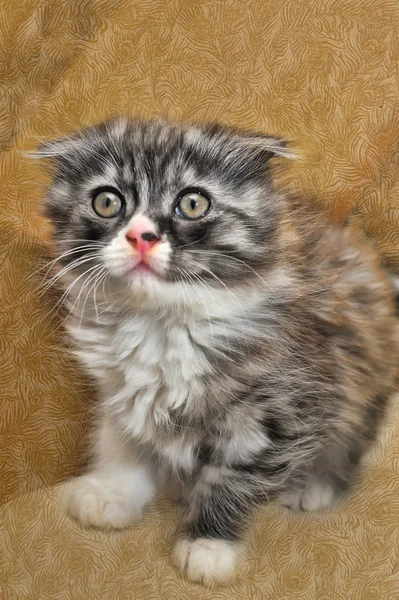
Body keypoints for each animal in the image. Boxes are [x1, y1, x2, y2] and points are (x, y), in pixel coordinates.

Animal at [39, 118, 399, 584]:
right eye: (107, 202)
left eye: (192, 204)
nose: (140, 236)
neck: (160, 325)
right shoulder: (119, 390)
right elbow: (123, 442)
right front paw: (112, 492)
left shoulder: (285, 410)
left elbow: (234, 478)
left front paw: (207, 544)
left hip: (364, 381)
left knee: (349, 442)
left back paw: (314, 485)